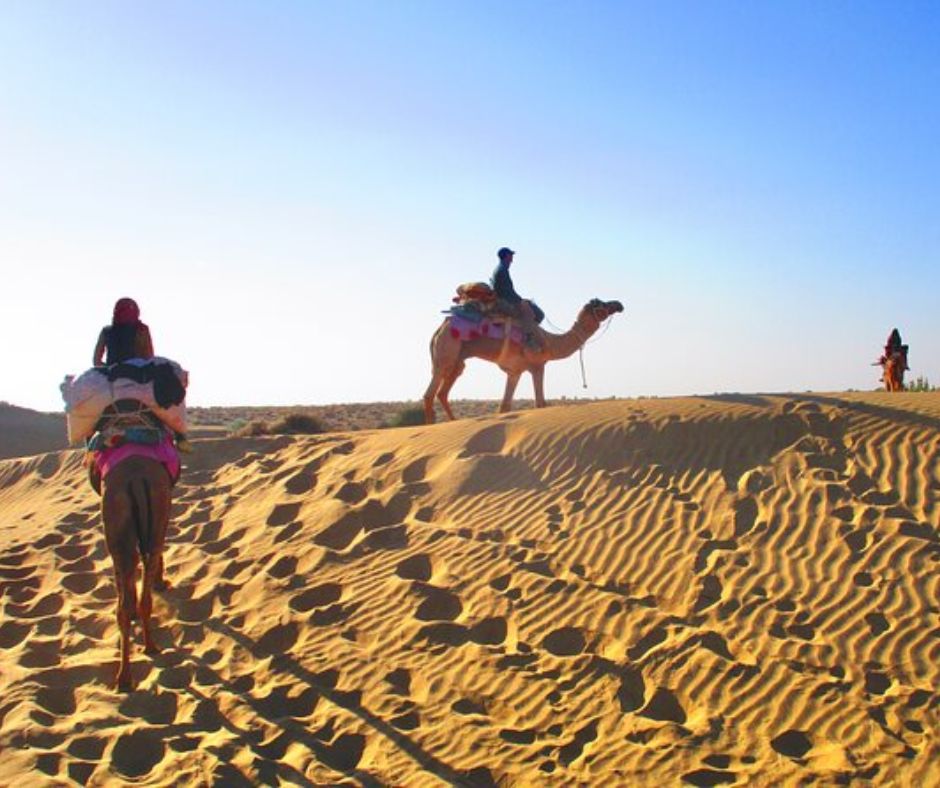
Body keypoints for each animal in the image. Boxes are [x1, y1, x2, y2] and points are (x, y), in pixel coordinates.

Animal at [424, 298, 624, 423]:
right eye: (600, 303)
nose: (619, 304)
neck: (550, 341)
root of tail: (439, 329)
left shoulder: (515, 371)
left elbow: (505, 406)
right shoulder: (538, 366)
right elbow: (540, 404)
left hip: (457, 360)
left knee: (442, 392)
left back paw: (452, 421)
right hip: (447, 351)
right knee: (430, 393)